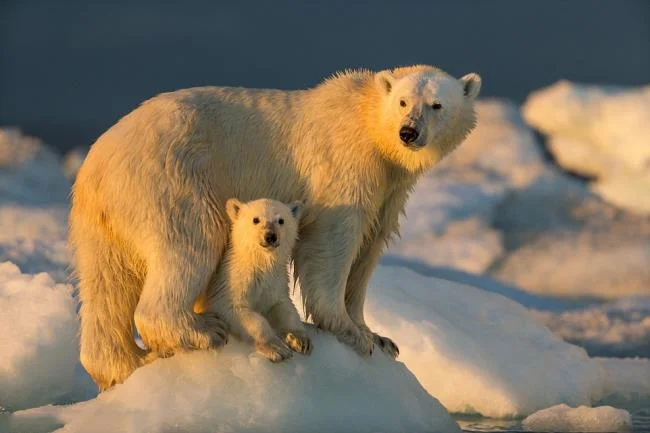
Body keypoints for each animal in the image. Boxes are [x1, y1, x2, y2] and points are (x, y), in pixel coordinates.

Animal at [196, 197, 311, 362]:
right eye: (255, 219)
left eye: (281, 220)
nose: (270, 236)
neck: (260, 262)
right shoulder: (231, 282)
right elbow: (237, 310)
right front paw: (277, 348)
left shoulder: (275, 282)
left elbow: (283, 306)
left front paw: (300, 339)